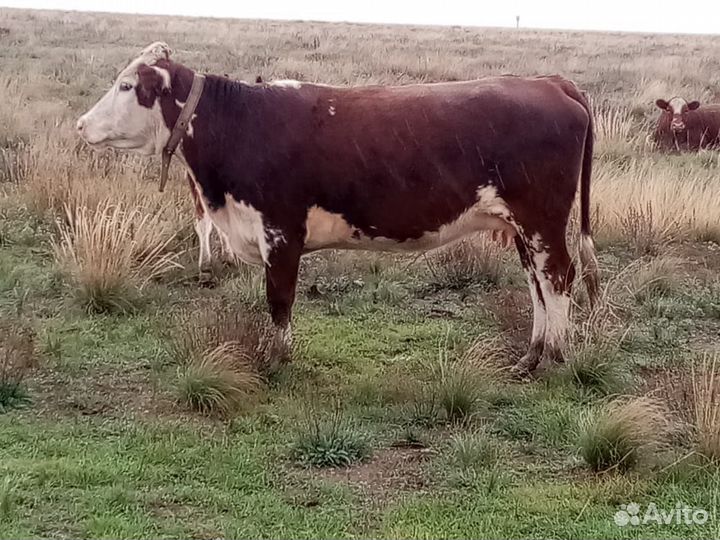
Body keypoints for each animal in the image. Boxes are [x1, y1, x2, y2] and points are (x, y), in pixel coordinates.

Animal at [76, 42, 599, 376]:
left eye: (126, 86)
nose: (81, 124)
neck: (241, 124)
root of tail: (550, 83)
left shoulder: (281, 233)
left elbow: (279, 301)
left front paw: (277, 362)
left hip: (542, 220)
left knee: (557, 277)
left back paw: (555, 357)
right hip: (522, 226)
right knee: (537, 283)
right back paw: (531, 356)